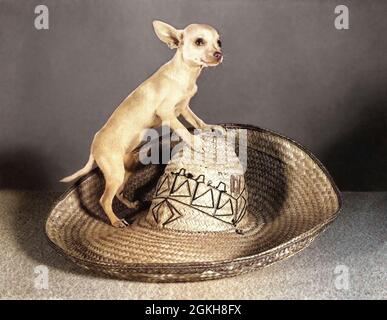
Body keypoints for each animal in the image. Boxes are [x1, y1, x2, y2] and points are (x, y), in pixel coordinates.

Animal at [60, 20, 224, 228]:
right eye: (199, 42)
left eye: (219, 42)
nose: (219, 54)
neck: (186, 74)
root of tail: (94, 145)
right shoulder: (167, 113)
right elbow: (182, 129)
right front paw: (195, 142)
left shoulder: (183, 108)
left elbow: (197, 120)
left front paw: (208, 127)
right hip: (115, 173)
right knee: (104, 199)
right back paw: (115, 221)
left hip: (127, 168)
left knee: (119, 192)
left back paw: (130, 204)